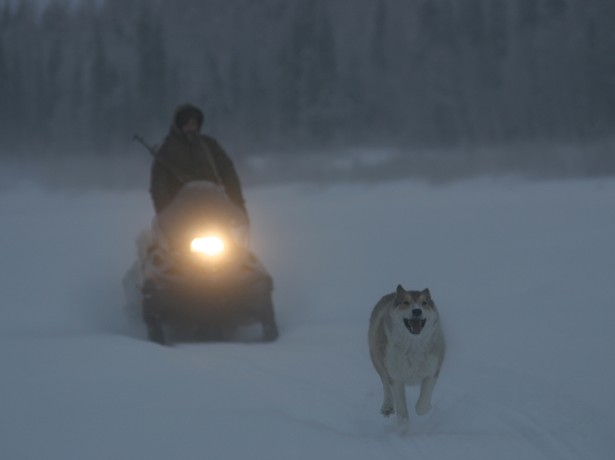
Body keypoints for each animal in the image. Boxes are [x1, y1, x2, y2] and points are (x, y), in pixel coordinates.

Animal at [368, 284, 446, 424]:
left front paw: (424, 408)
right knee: (386, 385)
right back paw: (387, 407)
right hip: (378, 361)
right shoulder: (395, 376)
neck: (412, 346)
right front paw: (403, 425)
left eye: (424, 303)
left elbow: (422, 406)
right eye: (405, 302)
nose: (417, 311)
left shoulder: (432, 370)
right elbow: (402, 409)